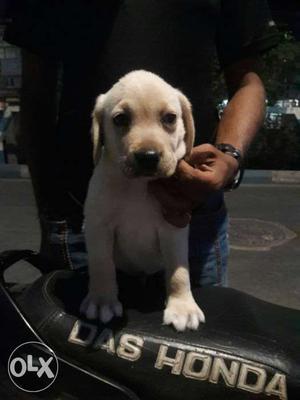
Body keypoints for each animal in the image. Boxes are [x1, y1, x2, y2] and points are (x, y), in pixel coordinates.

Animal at [81, 69, 205, 332]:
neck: (139, 187)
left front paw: (183, 308)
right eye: (120, 119)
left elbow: (179, 271)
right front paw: (102, 301)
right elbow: (101, 264)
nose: (148, 157)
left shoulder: (174, 227)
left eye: (170, 118)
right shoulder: (98, 226)